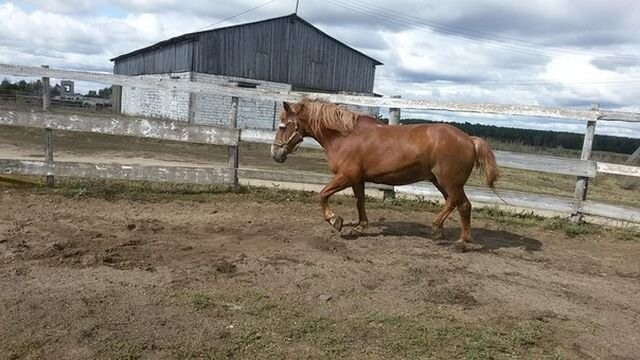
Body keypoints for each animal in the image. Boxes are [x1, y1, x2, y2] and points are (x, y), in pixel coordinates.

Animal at [272, 99, 500, 250]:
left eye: (283, 126)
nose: (275, 154)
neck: (345, 137)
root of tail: (469, 139)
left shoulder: (346, 176)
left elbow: (322, 194)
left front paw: (335, 220)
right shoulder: (357, 179)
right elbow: (360, 201)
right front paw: (359, 227)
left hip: (450, 182)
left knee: (463, 205)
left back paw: (459, 240)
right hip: (441, 182)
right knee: (454, 203)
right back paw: (440, 230)